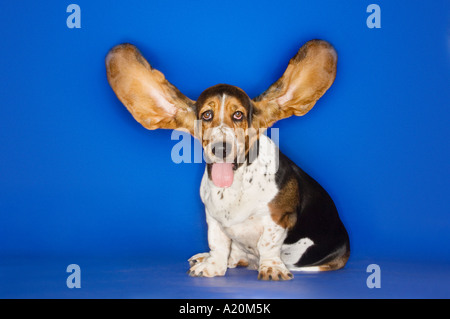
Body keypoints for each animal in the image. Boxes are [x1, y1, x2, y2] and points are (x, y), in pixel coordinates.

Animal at [107, 39, 350, 280]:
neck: (235, 185)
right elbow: (218, 244)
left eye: (238, 115)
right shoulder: (214, 220)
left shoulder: (279, 218)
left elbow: (268, 244)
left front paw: (271, 267)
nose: (221, 148)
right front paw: (213, 266)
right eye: (206, 115)